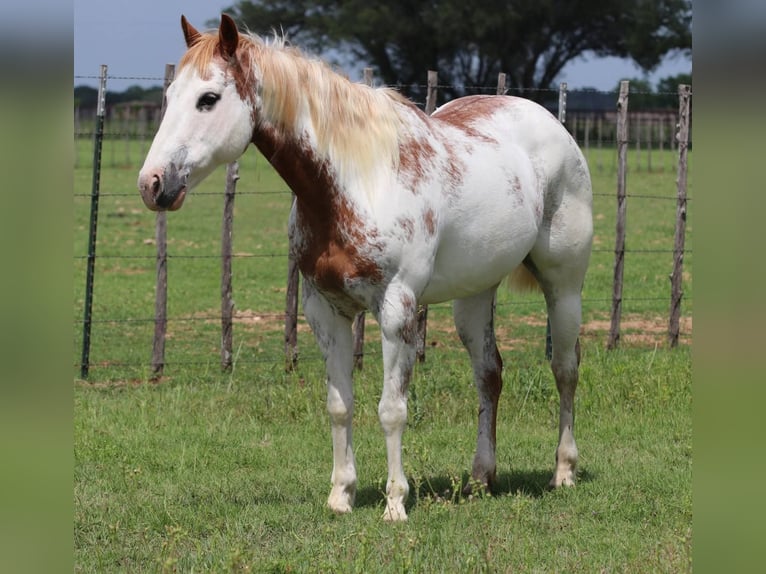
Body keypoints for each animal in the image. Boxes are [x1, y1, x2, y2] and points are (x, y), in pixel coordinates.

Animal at [138, 14, 593, 522]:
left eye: (208, 98)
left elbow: (392, 408)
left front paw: (395, 503)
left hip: (564, 285)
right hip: (474, 296)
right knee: (489, 374)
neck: (355, 181)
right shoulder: (325, 310)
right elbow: (340, 404)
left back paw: (563, 472)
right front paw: (341, 496)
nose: (152, 183)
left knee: (565, 368)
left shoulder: (396, 311)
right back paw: (481, 478)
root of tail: (549, 122)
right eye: (171, 96)